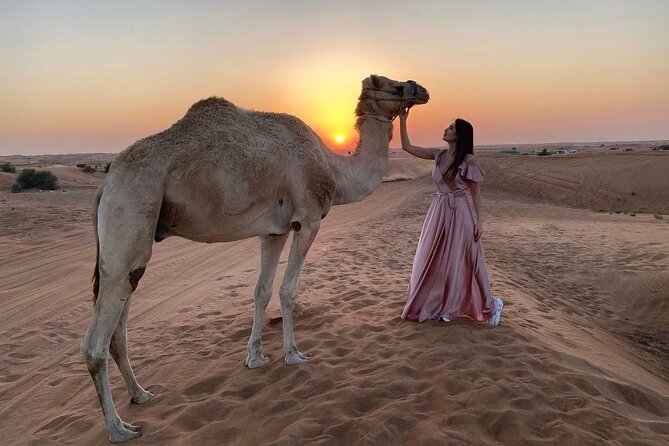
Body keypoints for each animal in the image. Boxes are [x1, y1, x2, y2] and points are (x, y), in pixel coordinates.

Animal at [81, 74, 429, 442]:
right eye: (394, 86)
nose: (421, 90)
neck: (334, 167)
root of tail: (105, 184)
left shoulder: (275, 231)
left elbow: (261, 291)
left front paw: (256, 357)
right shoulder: (308, 219)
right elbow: (288, 291)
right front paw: (294, 354)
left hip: (131, 243)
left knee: (118, 328)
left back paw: (141, 394)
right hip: (130, 211)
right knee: (95, 343)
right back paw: (118, 428)